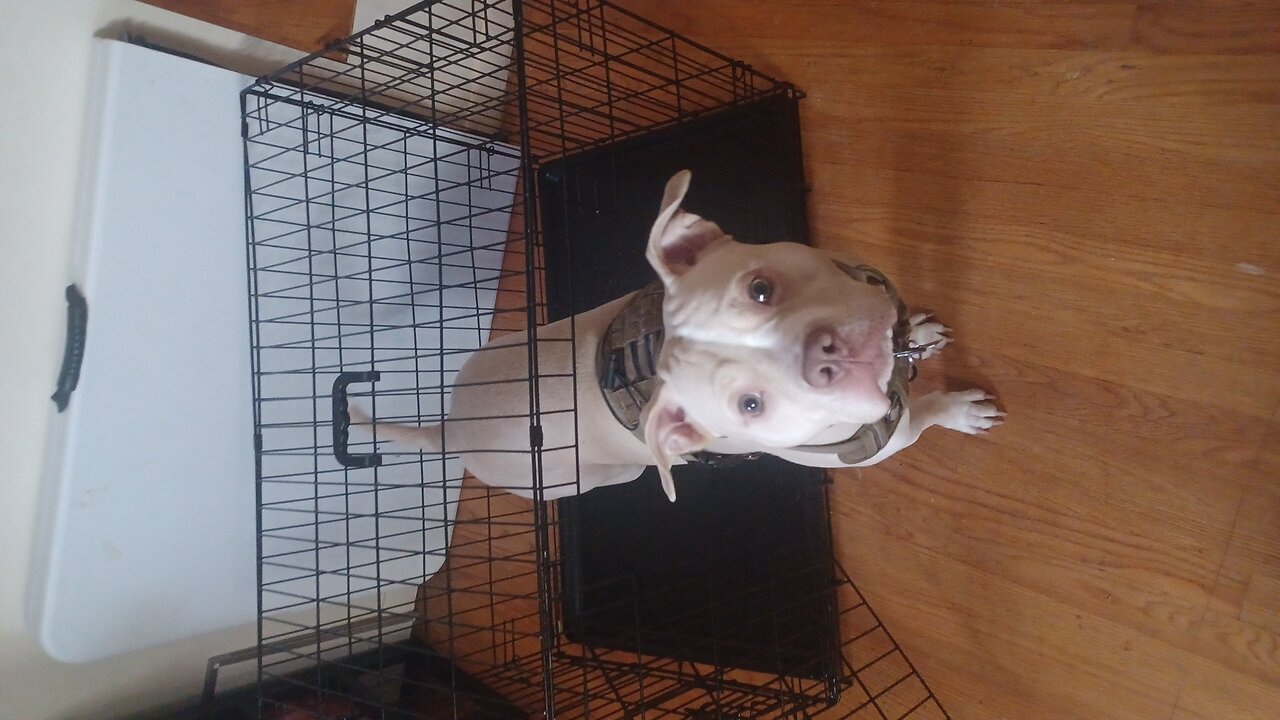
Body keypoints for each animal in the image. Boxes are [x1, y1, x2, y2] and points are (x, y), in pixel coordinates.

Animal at [355, 170, 1003, 499]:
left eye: (760, 289)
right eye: (749, 406)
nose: (827, 355)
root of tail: (449, 431)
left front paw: (918, 330)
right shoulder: (887, 436)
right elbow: (927, 415)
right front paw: (960, 411)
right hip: (584, 477)